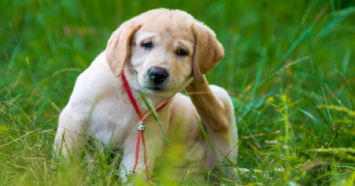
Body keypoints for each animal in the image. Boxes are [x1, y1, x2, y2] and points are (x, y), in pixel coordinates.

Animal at [55, 8, 239, 182]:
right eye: (147, 45)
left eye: (182, 52)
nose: (158, 74)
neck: (132, 91)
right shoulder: (75, 118)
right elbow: (67, 156)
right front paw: (66, 177)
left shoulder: (144, 139)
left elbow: (135, 174)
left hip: (221, 133)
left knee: (217, 117)